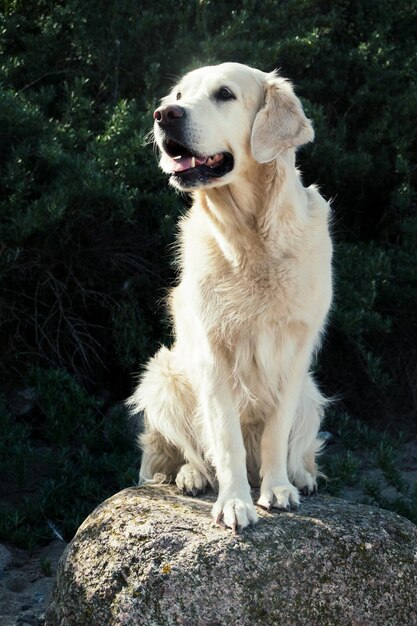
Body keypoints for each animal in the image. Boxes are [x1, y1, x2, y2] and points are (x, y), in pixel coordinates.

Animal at [127, 61, 332, 528]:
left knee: (300, 447)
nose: (164, 115)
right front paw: (235, 502)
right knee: (188, 452)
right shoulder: (213, 354)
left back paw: (302, 476)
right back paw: (191, 476)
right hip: (162, 377)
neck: (252, 237)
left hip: (311, 394)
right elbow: (225, 438)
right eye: (179, 94)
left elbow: (277, 432)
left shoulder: (294, 352)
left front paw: (278, 489)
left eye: (225, 94)